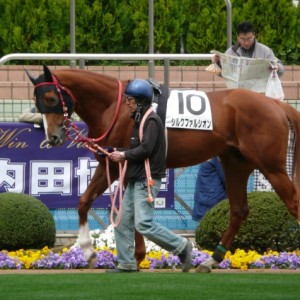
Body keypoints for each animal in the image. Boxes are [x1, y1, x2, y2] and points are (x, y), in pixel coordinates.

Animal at [26, 65, 300, 272]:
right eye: (37, 103)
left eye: (51, 98)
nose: (52, 137)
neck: (115, 106)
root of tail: (276, 104)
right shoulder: (113, 163)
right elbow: (87, 202)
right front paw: (99, 253)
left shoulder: (121, 163)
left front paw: (119, 255)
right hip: (235, 163)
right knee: (238, 210)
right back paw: (211, 260)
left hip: (271, 166)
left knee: (292, 202)